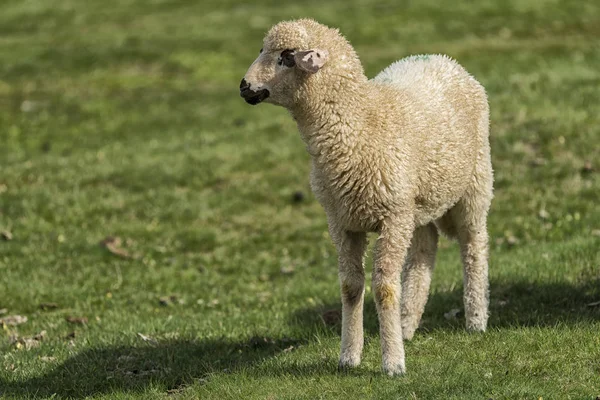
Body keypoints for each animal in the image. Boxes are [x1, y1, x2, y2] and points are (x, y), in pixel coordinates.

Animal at [239, 18, 492, 376]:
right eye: (262, 49)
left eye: (287, 57)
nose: (244, 87)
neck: (362, 122)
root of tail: (441, 59)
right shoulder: (342, 222)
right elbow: (350, 287)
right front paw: (349, 356)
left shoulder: (392, 217)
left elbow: (384, 289)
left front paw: (393, 363)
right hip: (417, 204)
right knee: (423, 252)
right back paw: (407, 324)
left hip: (475, 184)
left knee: (473, 245)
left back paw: (475, 319)